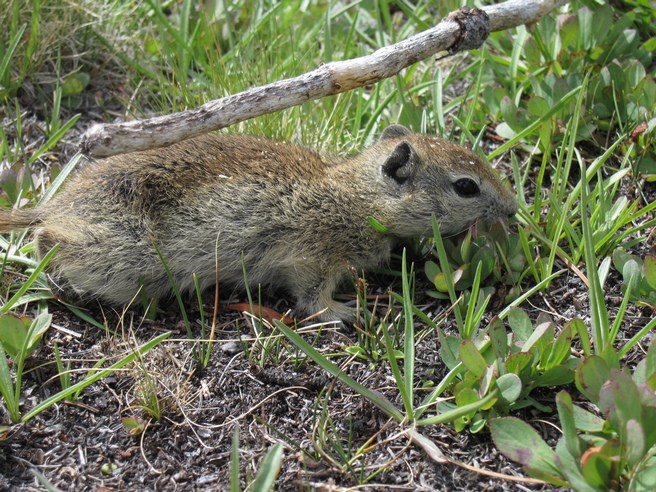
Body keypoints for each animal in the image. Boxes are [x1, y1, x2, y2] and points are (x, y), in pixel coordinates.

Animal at [0, 125, 517, 322]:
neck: (353, 195)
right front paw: (347, 311)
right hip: (125, 261)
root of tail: (58, 205)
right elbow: (311, 300)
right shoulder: (311, 258)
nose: (513, 210)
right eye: (466, 187)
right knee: (46, 238)